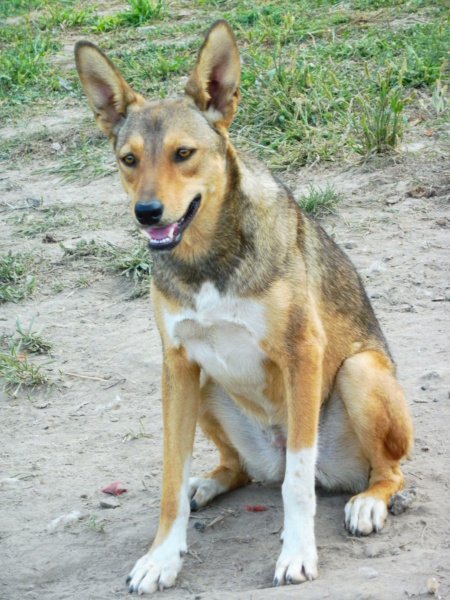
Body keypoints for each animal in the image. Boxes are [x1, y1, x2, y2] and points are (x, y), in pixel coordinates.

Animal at [74, 19, 414, 596]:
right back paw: (209, 483)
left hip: (359, 372)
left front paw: (297, 554)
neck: (206, 259)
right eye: (129, 159)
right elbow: (169, 477)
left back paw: (367, 502)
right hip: (209, 384)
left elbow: (298, 485)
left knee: (380, 471)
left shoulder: (303, 352)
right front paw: (162, 557)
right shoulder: (177, 366)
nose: (147, 213)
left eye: (184, 154)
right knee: (239, 468)